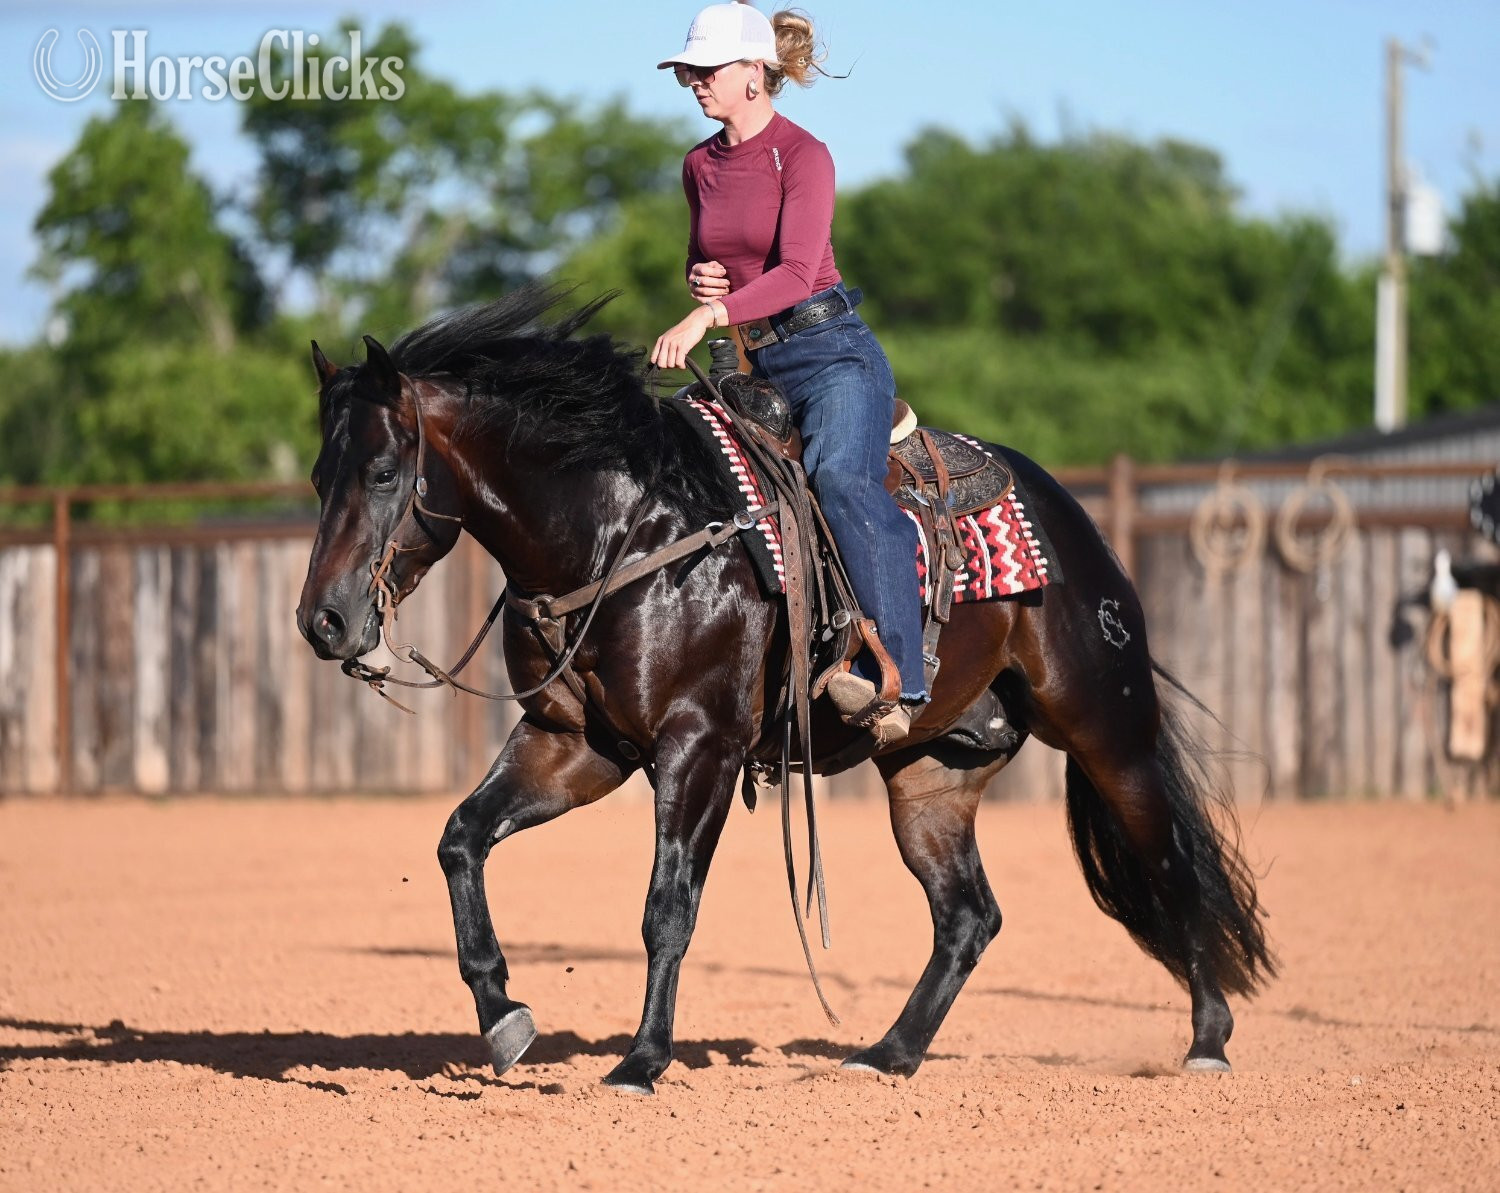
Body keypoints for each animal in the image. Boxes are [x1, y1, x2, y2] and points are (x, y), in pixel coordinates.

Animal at [296, 286, 1274, 1095]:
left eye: (383, 472)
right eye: (317, 475)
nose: (324, 622)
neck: (627, 532)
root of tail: (1073, 523)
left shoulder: (702, 747)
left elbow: (667, 907)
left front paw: (641, 1061)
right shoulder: (573, 746)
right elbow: (461, 838)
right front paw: (503, 1017)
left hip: (1109, 732)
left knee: (1172, 865)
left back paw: (1209, 1041)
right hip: (933, 773)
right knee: (969, 915)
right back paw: (887, 1054)